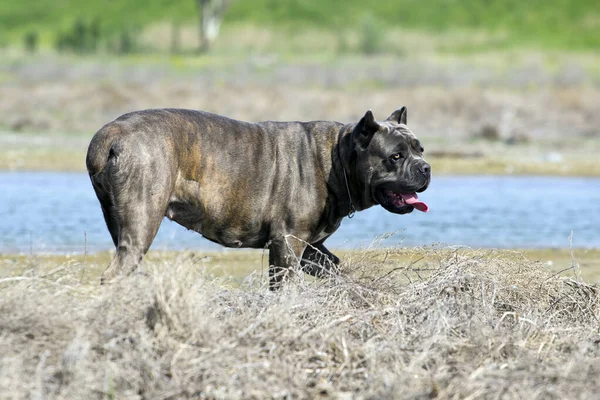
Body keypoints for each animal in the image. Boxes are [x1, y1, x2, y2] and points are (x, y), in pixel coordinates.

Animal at [86, 106, 428, 288]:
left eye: (420, 149)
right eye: (396, 156)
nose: (426, 168)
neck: (337, 158)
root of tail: (110, 135)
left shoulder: (312, 248)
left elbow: (339, 270)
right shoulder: (288, 243)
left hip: (120, 222)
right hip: (143, 221)